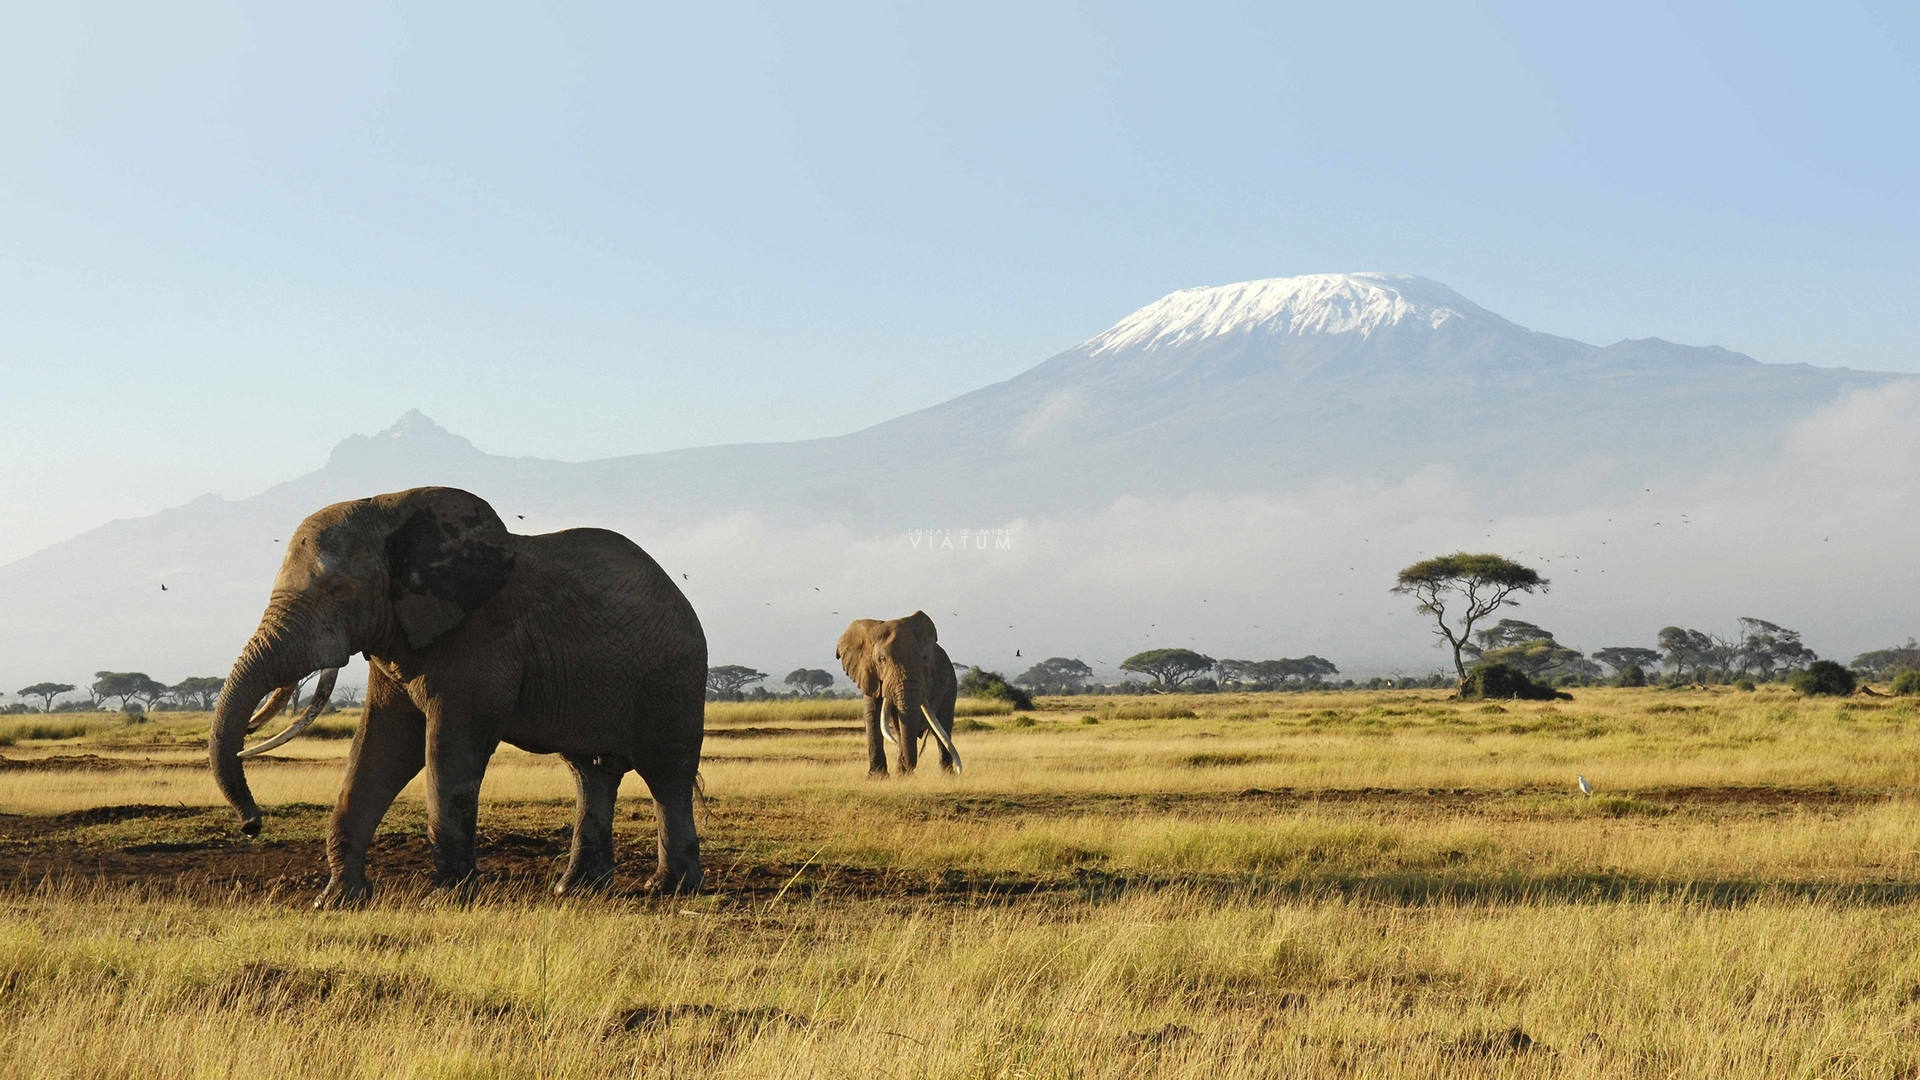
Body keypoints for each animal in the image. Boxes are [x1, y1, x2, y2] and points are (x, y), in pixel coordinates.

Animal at [210, 486, 706, 899]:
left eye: (338, 589)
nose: (252, 825)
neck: (391, 510)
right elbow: (381, 747)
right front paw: (336, 900)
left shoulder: (480, 639)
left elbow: (449, 748)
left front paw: (450, 896)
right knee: (591, 772)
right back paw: (577, 890)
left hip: (674, 677)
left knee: (667, 775)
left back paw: (670, 889)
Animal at [837, 607, 960, 772]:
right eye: (881, 660)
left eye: (925, 659)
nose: (909, 767)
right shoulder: (869, 674)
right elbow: (872, 714)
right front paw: (877, 775)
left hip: (951, 685)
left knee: (943, 729)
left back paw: (946, 775)